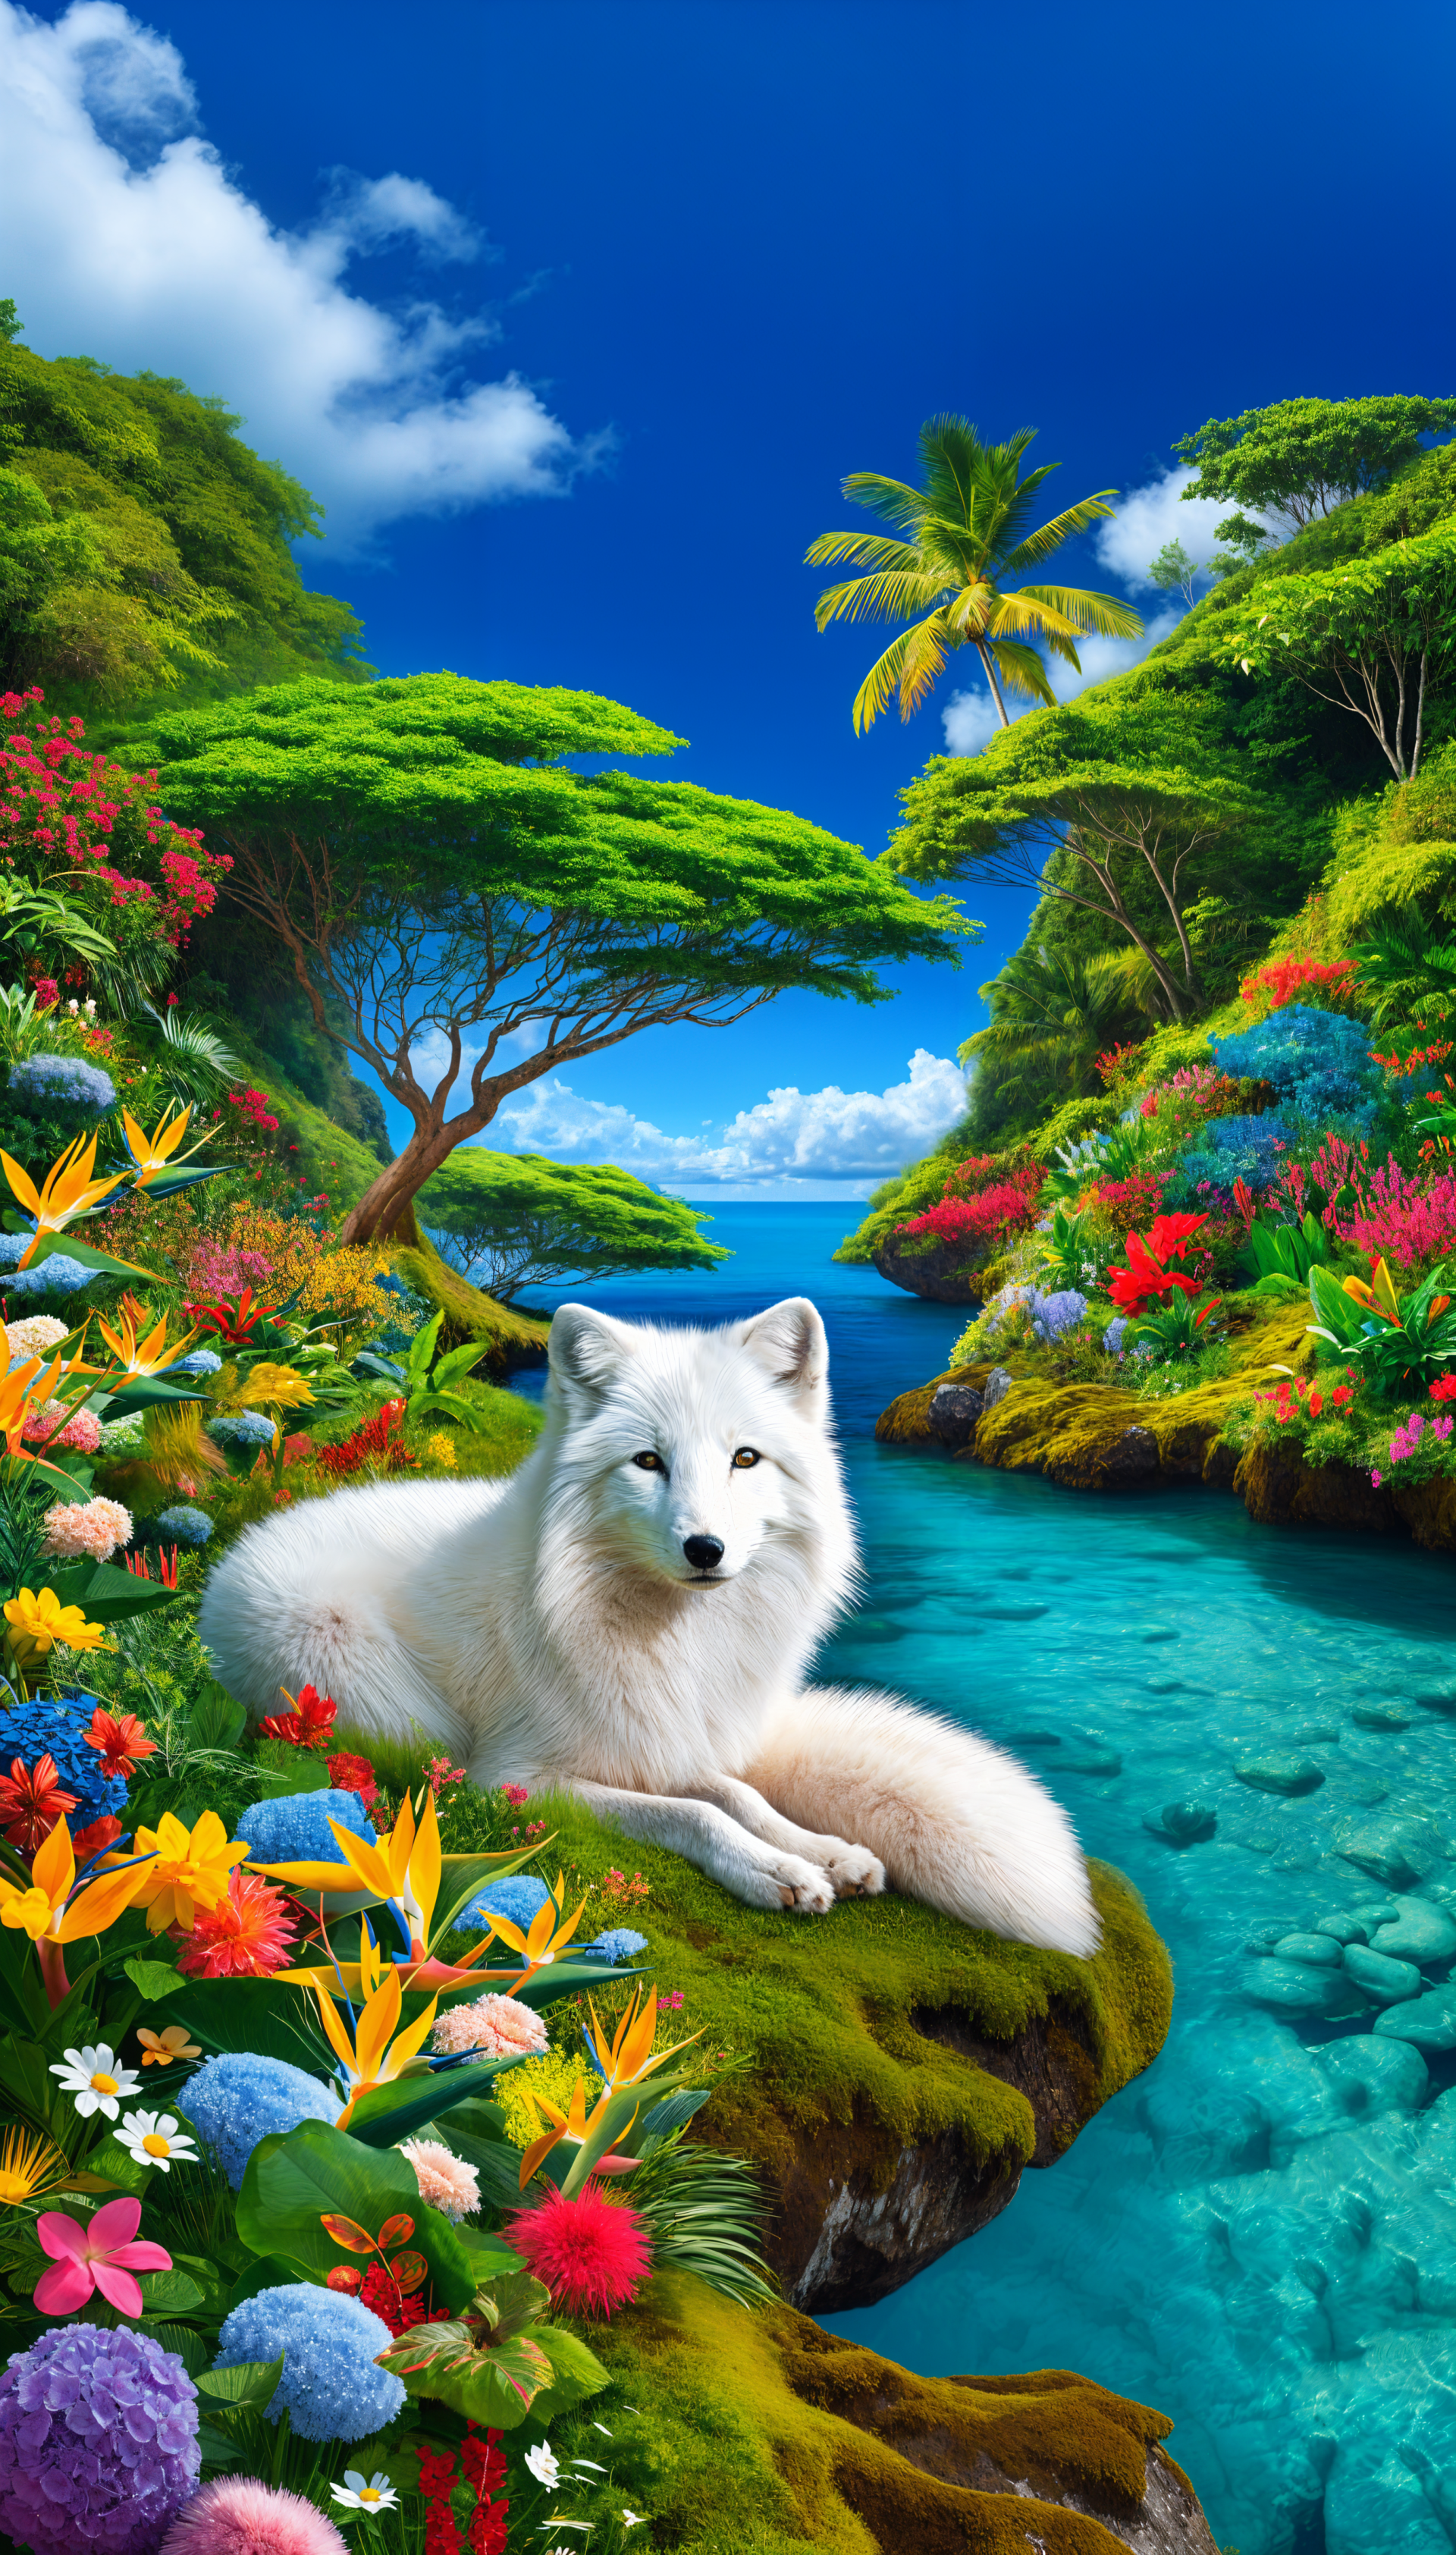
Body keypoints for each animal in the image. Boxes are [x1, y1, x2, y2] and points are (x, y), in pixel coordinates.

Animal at [198, 1296, 1100, 1957]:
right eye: (648, 1462)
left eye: (745, 1459)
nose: (706, 1549)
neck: (678, 1643)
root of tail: (245, 1539)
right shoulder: (514, 1778)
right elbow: (691, 1815)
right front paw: (774, 1871)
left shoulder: (665, 1734)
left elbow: (734, 1790)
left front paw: (822, 1849)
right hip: (365, 1681)